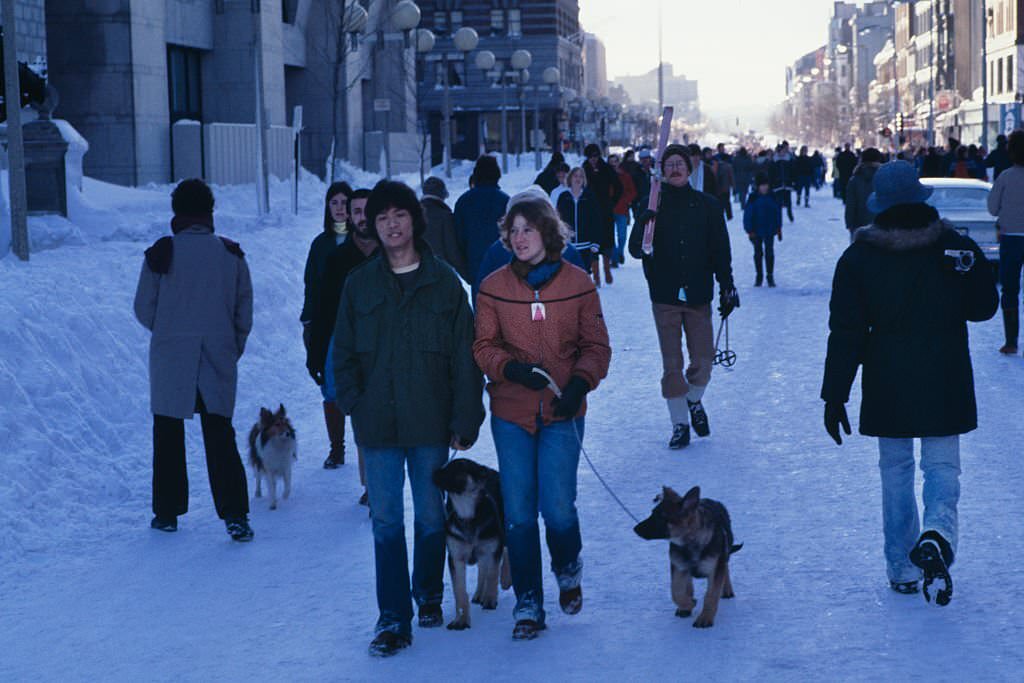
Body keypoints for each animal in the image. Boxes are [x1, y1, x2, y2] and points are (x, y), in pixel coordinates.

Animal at [432, 458, 512, 630]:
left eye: (458, 467)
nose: (434, 473)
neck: (467, 513)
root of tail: (492, 471)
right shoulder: (456, 558)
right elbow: (460, 591)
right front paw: (461, 620)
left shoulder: (492, 548)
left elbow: (492, 573)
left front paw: (490, 598)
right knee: (482, 566)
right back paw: (478, 594)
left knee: (505, 552)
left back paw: (505, 580)